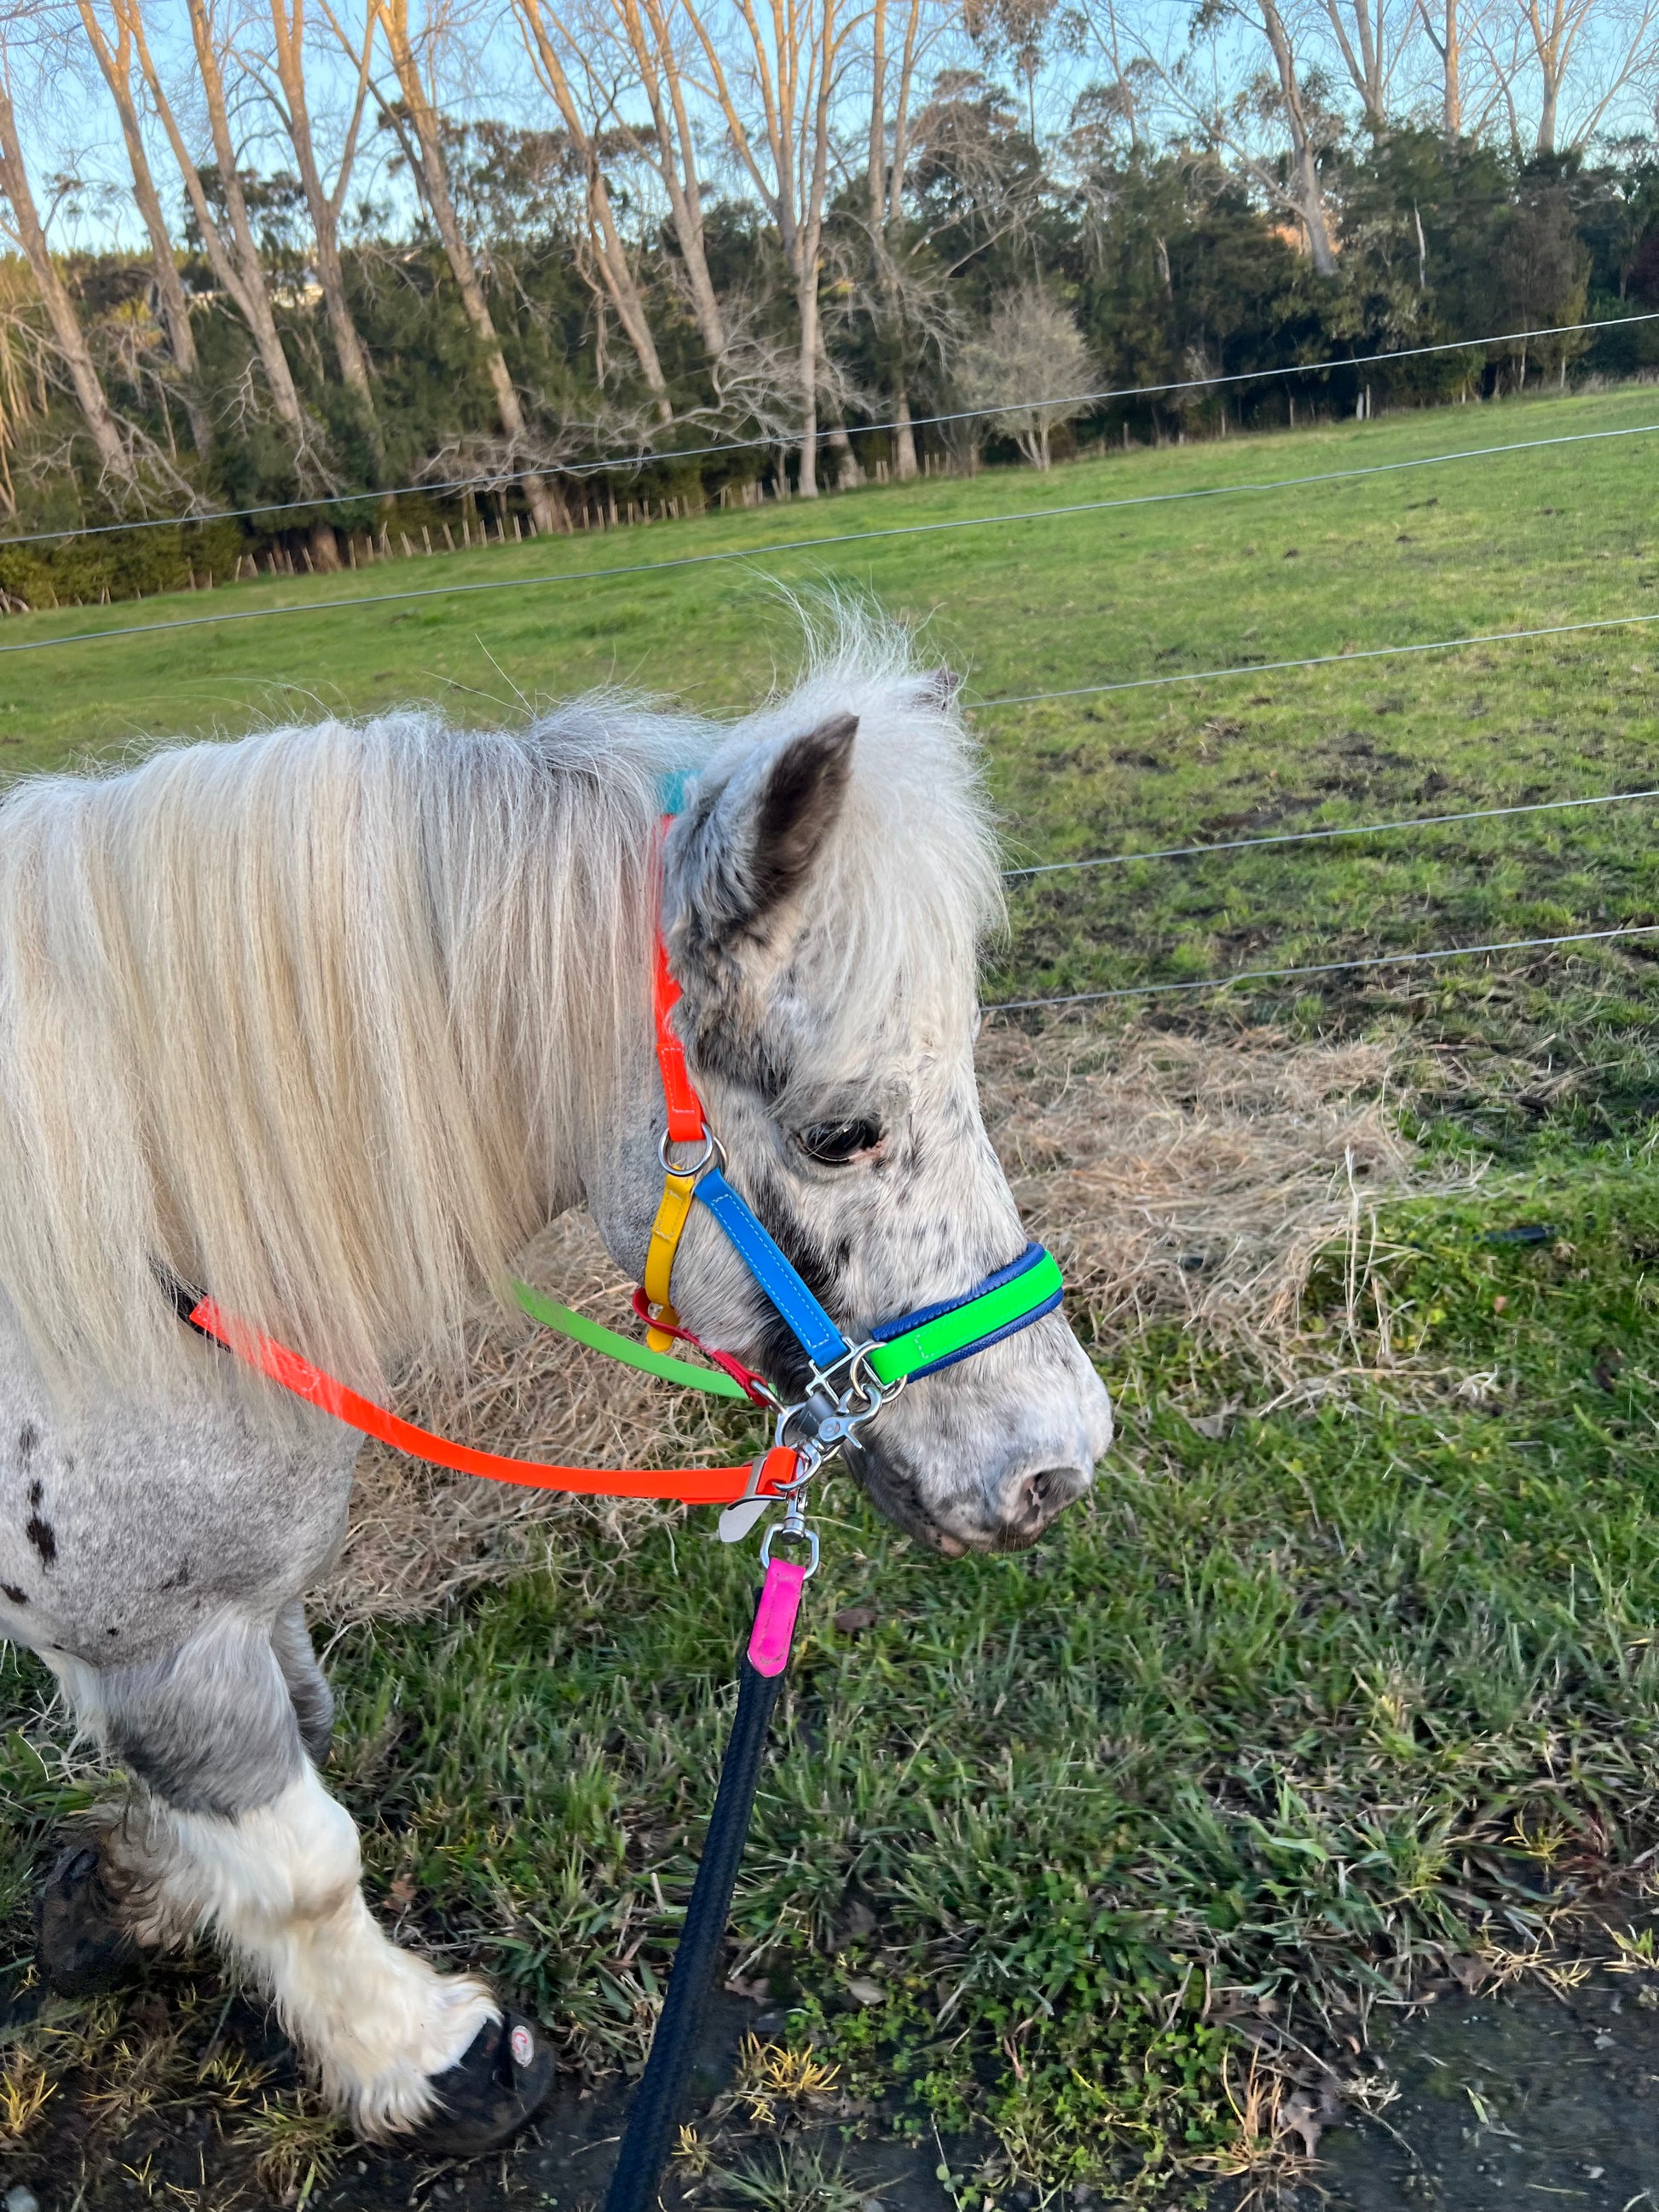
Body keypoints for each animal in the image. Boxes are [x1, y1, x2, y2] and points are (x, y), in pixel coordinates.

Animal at [0, 620, 1112, 2154]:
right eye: (842, 1133)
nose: (1058, 1459)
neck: (128, 1226)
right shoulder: (159, 1630)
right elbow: (302, 1861)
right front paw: (421, 2053)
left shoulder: (226, 1608)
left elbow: (283, 1751)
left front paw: (133, 1891)